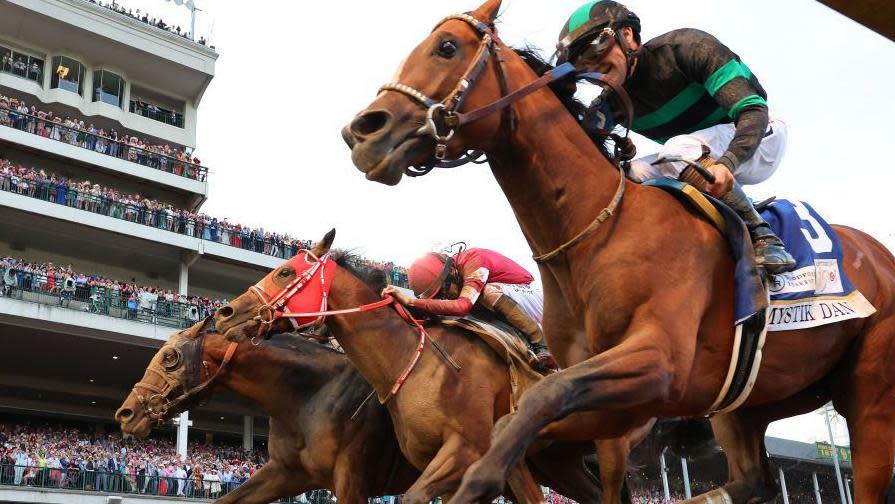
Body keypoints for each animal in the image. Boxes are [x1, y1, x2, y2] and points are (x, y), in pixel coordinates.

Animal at [342, 1, 895, 502]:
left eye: (446, 47)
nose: (362, 132)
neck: (596, 232)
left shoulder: (657, 363)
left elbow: (541, 398)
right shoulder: (612, 403)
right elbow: (517, 425)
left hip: (869, 396)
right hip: (753, 398)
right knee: (753, 482)